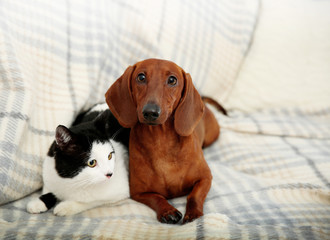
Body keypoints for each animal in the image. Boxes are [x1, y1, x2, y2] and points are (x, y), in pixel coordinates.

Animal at [105, 59, 224, 224]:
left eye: (172, 80)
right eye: (141, 77)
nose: (150, 112)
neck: (161, 142)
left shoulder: (205, 178)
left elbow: (194, 196)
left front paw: (193, 213)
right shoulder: (138, 193)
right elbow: (157, 198)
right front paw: (168, 210)